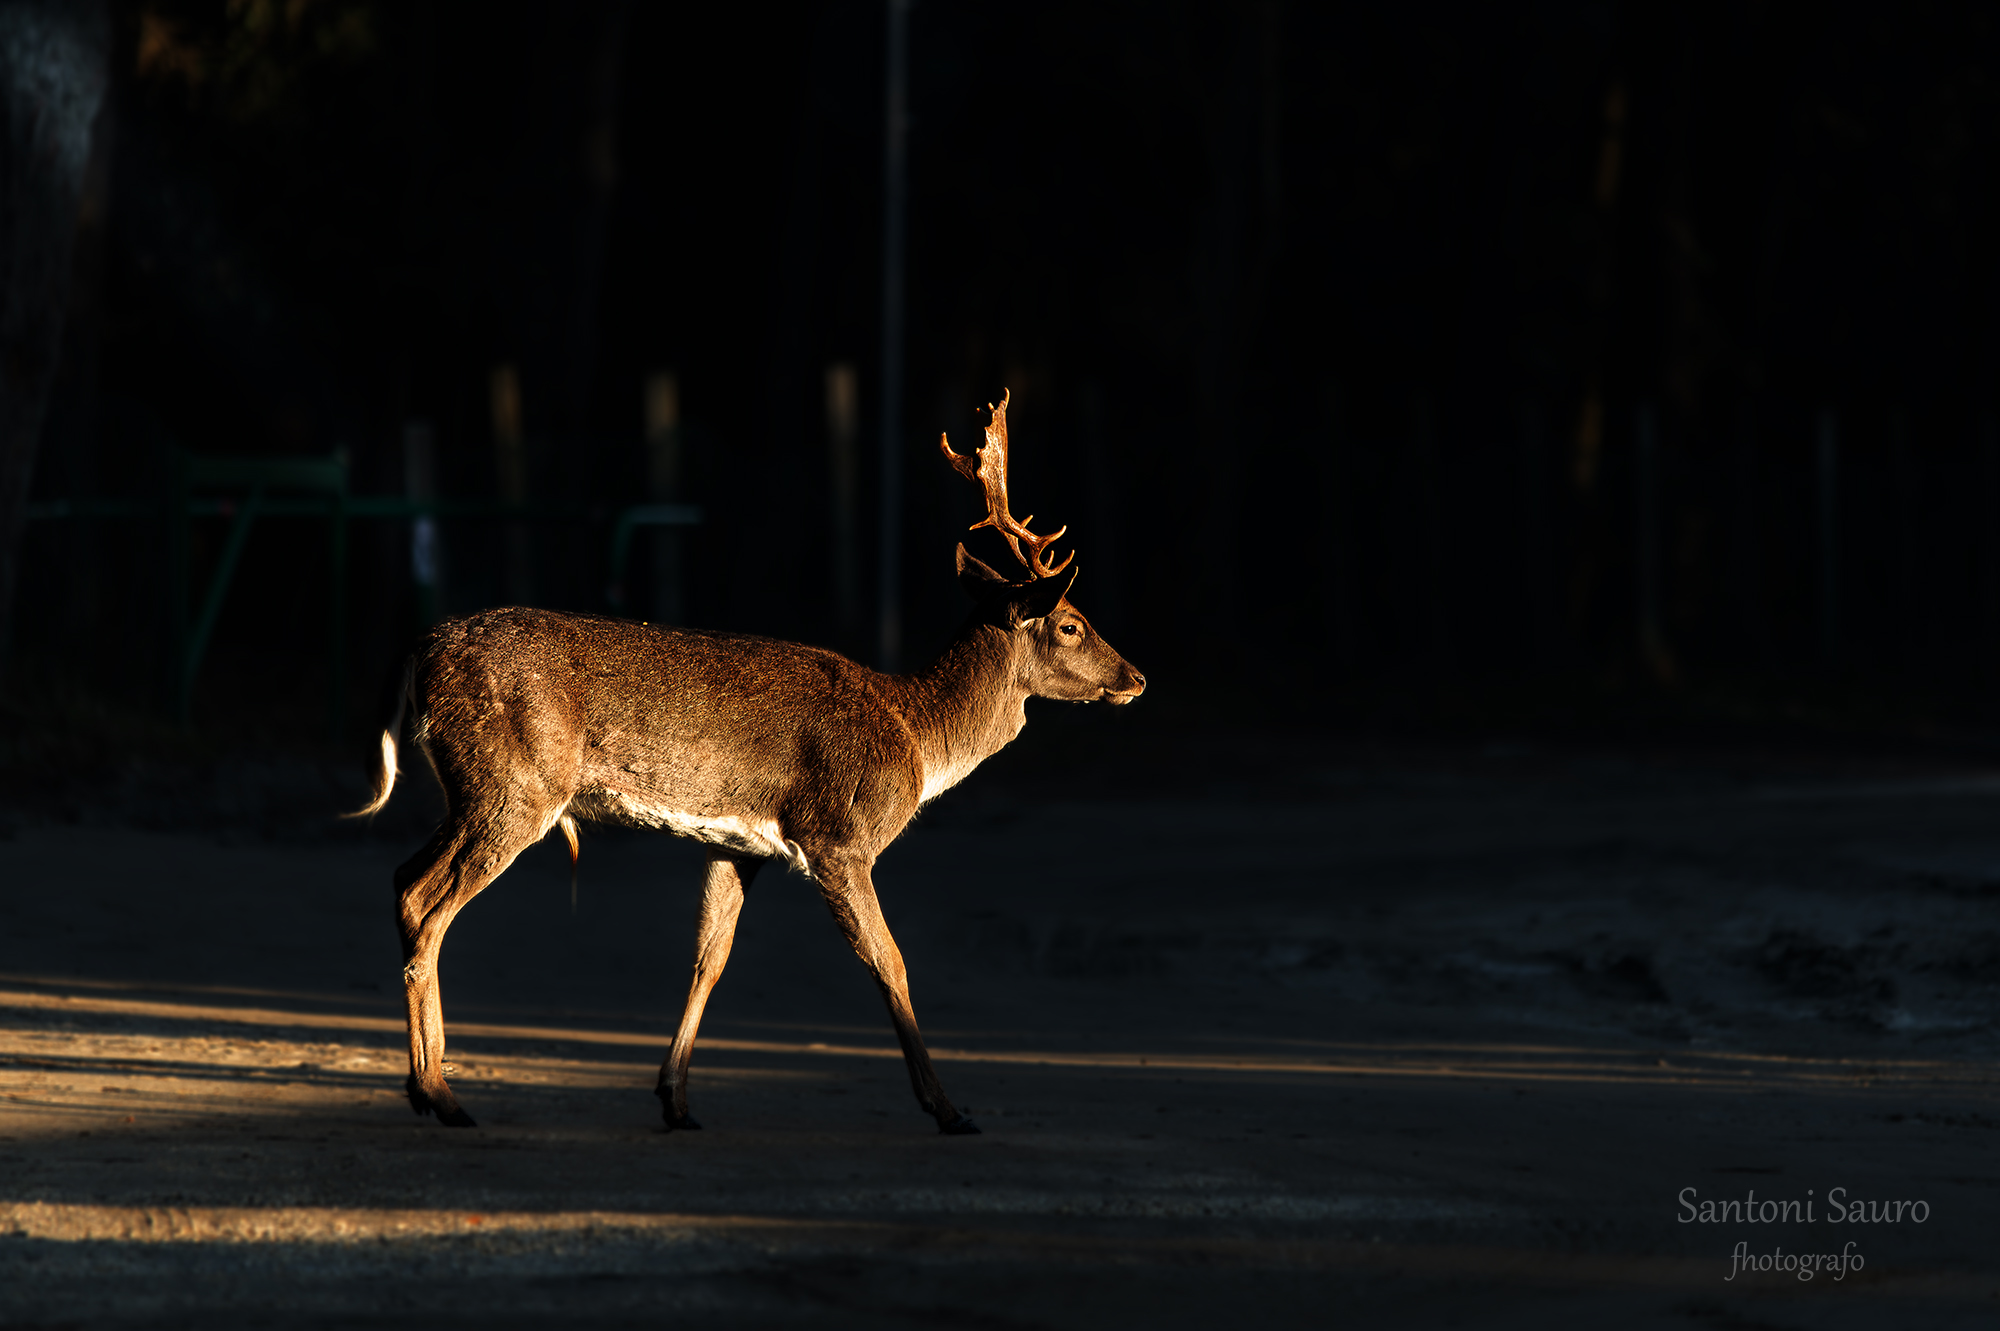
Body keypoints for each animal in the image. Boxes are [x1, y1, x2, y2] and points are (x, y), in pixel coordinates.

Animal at [351, 391, 1145, 1135]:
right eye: (1071, 624)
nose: (1136, 676)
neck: (917, 734)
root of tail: (421, 647)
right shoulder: (838, 837)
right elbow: (890, 961)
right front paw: (949, 1109)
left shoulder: (738, 844)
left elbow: (711, 956)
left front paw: (675, 1099)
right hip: (514, 784)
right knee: (426, 903)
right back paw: (441, 1094)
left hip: (471, 789)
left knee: (401, 879)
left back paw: (425, 1086)